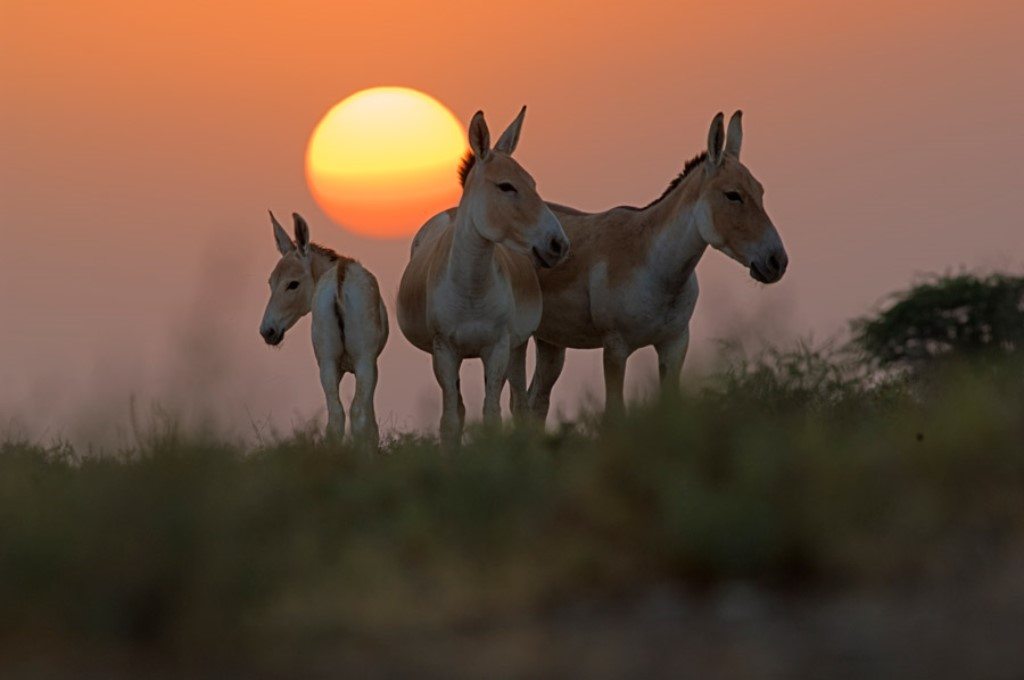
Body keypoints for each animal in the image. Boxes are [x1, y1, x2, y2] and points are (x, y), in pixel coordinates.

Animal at [260, 215, 387, 444]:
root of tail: (339, 279)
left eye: (292, 284)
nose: (268, 331)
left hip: (327, 363)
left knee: (336, 416)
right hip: (362, 361)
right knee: (357, 413)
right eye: (271, 282)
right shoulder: (370, 363)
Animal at [399, 108, 573, 444]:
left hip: (517, 345)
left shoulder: (498, 347)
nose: (558, 244)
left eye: (533, 183)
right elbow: (451, 419)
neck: (471, 288)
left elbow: (492, 415)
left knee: (519, 402)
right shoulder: (444, 350)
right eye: (506, 186)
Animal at [532, 111, 786, 419]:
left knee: (534, 401)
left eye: (760, 191)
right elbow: (614, 412)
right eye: (732, 195)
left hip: (550, 340)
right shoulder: (615, 347)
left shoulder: (674, 343)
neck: (657, 267)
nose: (777, 261)